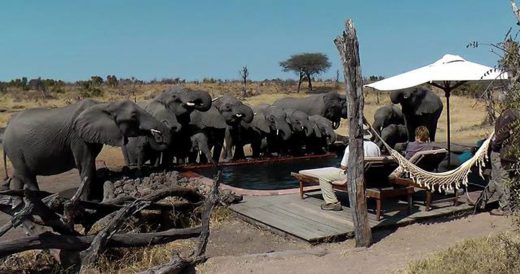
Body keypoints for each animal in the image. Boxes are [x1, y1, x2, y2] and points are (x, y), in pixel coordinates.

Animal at [4, 99, 171, 200]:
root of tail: (5, 130)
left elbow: (91, 167)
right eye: (134, 116)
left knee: (19, 176)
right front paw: (87, 202)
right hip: (15, 150)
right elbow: (86, 166)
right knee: (28, 176)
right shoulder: (77, 137)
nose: (158, 134)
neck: (104, 105)